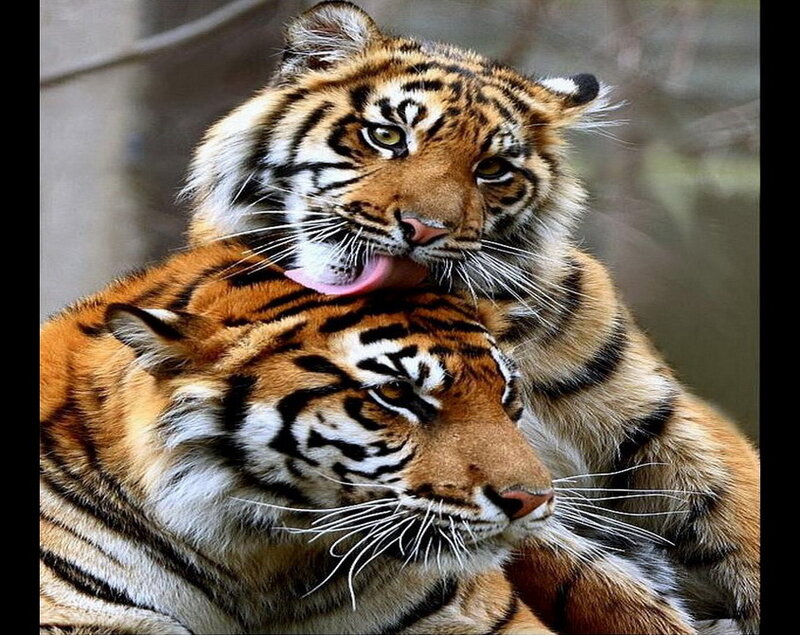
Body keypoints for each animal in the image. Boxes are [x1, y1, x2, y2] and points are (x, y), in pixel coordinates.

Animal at [183, 2, 760, 633]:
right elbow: (600, 584)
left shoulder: (662, 420)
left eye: (492, 169)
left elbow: (736, 516)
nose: (422, 229)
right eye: (386, 136)